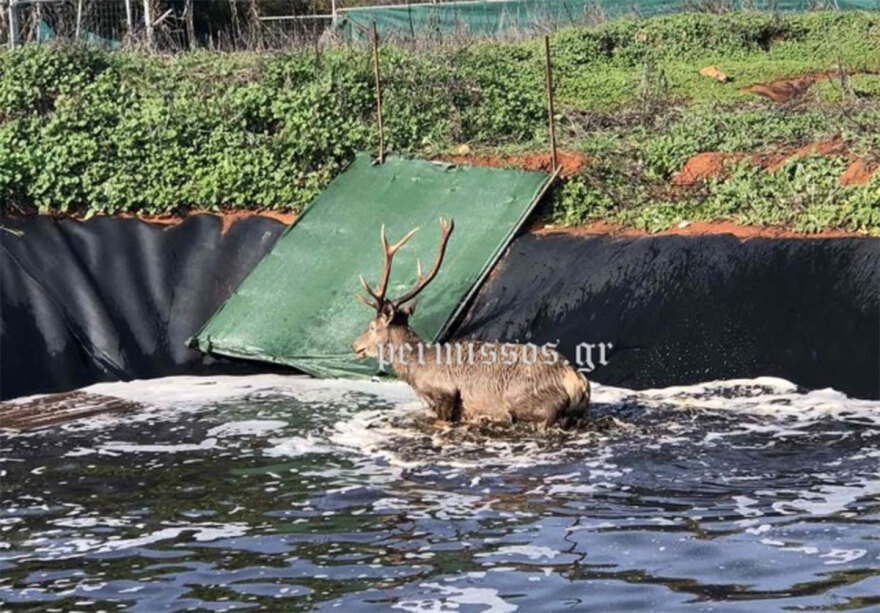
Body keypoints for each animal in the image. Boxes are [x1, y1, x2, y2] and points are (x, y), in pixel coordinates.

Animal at [350, 220, 592, 430]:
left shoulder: (446, 394)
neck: (418, 370)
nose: (354, 345)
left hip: (531, 403)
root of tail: (578, 381)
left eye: (372, 326)